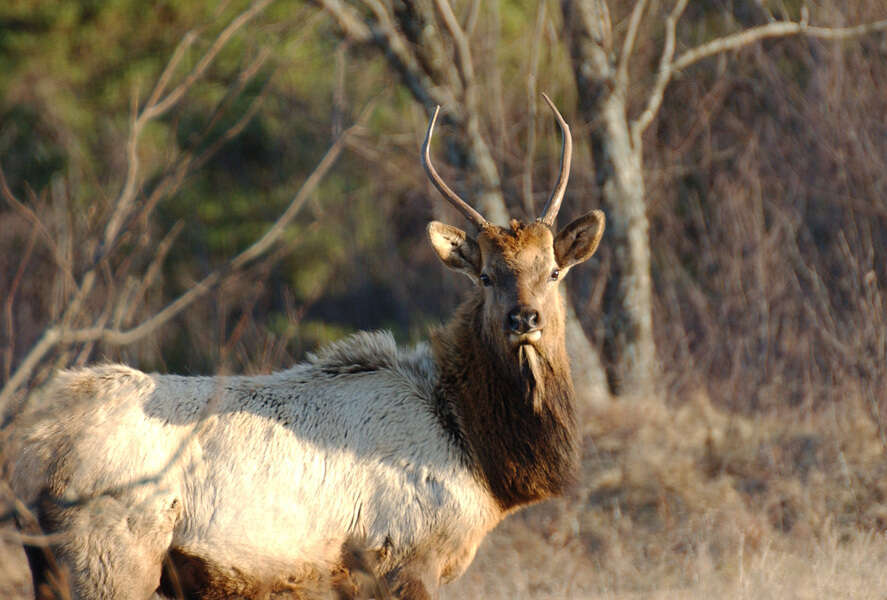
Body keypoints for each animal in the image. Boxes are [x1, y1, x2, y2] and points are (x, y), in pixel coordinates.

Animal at [3, 96, 604, 596]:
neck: (478, 449)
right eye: (485, 276)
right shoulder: (402, 558)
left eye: (553, 271)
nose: (524, 319)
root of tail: (33, 447)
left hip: (54, 563)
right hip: (109, 554)